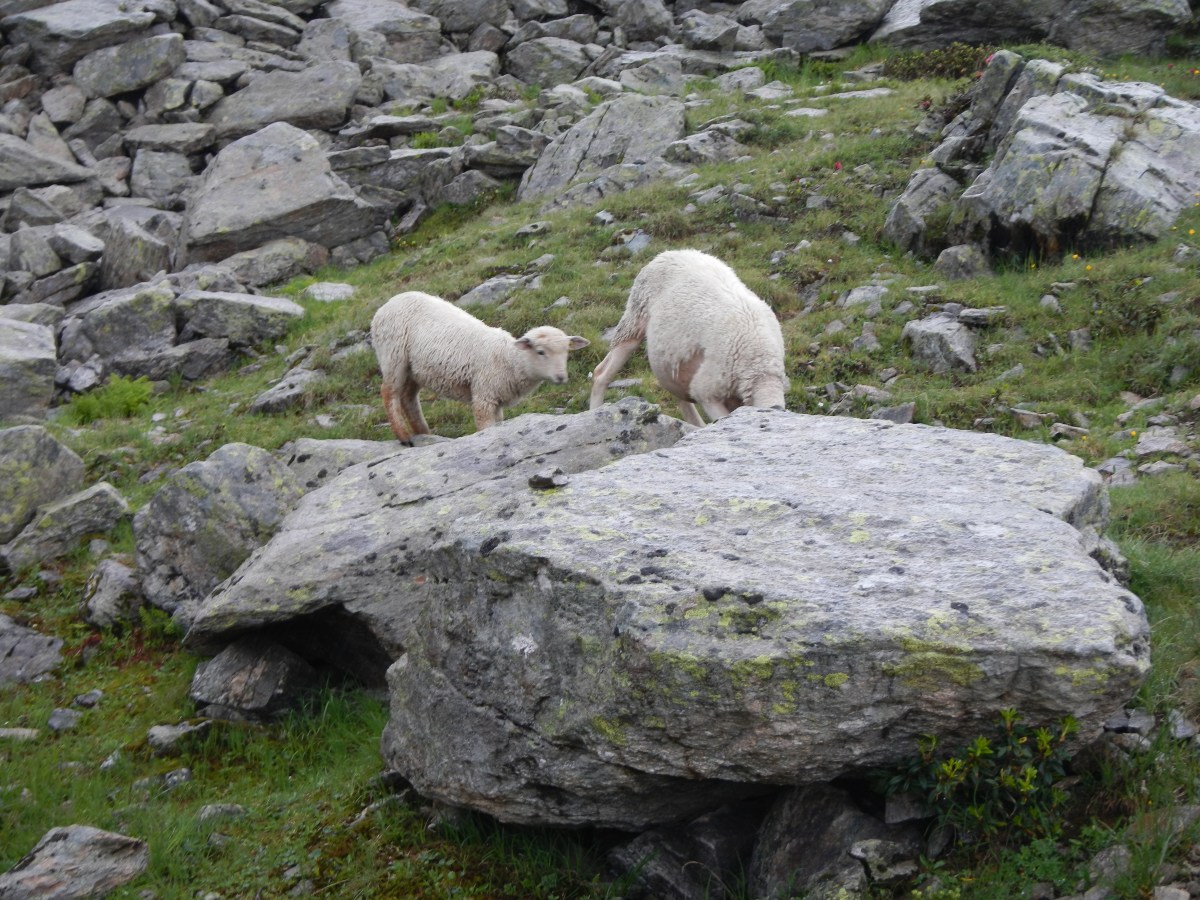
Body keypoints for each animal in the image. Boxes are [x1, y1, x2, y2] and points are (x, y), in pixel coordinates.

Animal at [370, 291, 590, 441]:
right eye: (541, 352)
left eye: (567, 352)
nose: (561, 377)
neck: (510, 360)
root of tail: (390, 302)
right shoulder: (484, 396)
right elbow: (485, 428)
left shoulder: (497, 400)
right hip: (393, 355)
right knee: (389, 392)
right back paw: (404, 436)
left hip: (414, 369)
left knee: (408, 398)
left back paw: (424, 433)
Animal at [589, 249, 789, 426]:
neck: (760, 368)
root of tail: (672, 252)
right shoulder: (707, 391)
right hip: (634, 320)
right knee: (601, 373)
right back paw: (595, 411)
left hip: (671, 361)